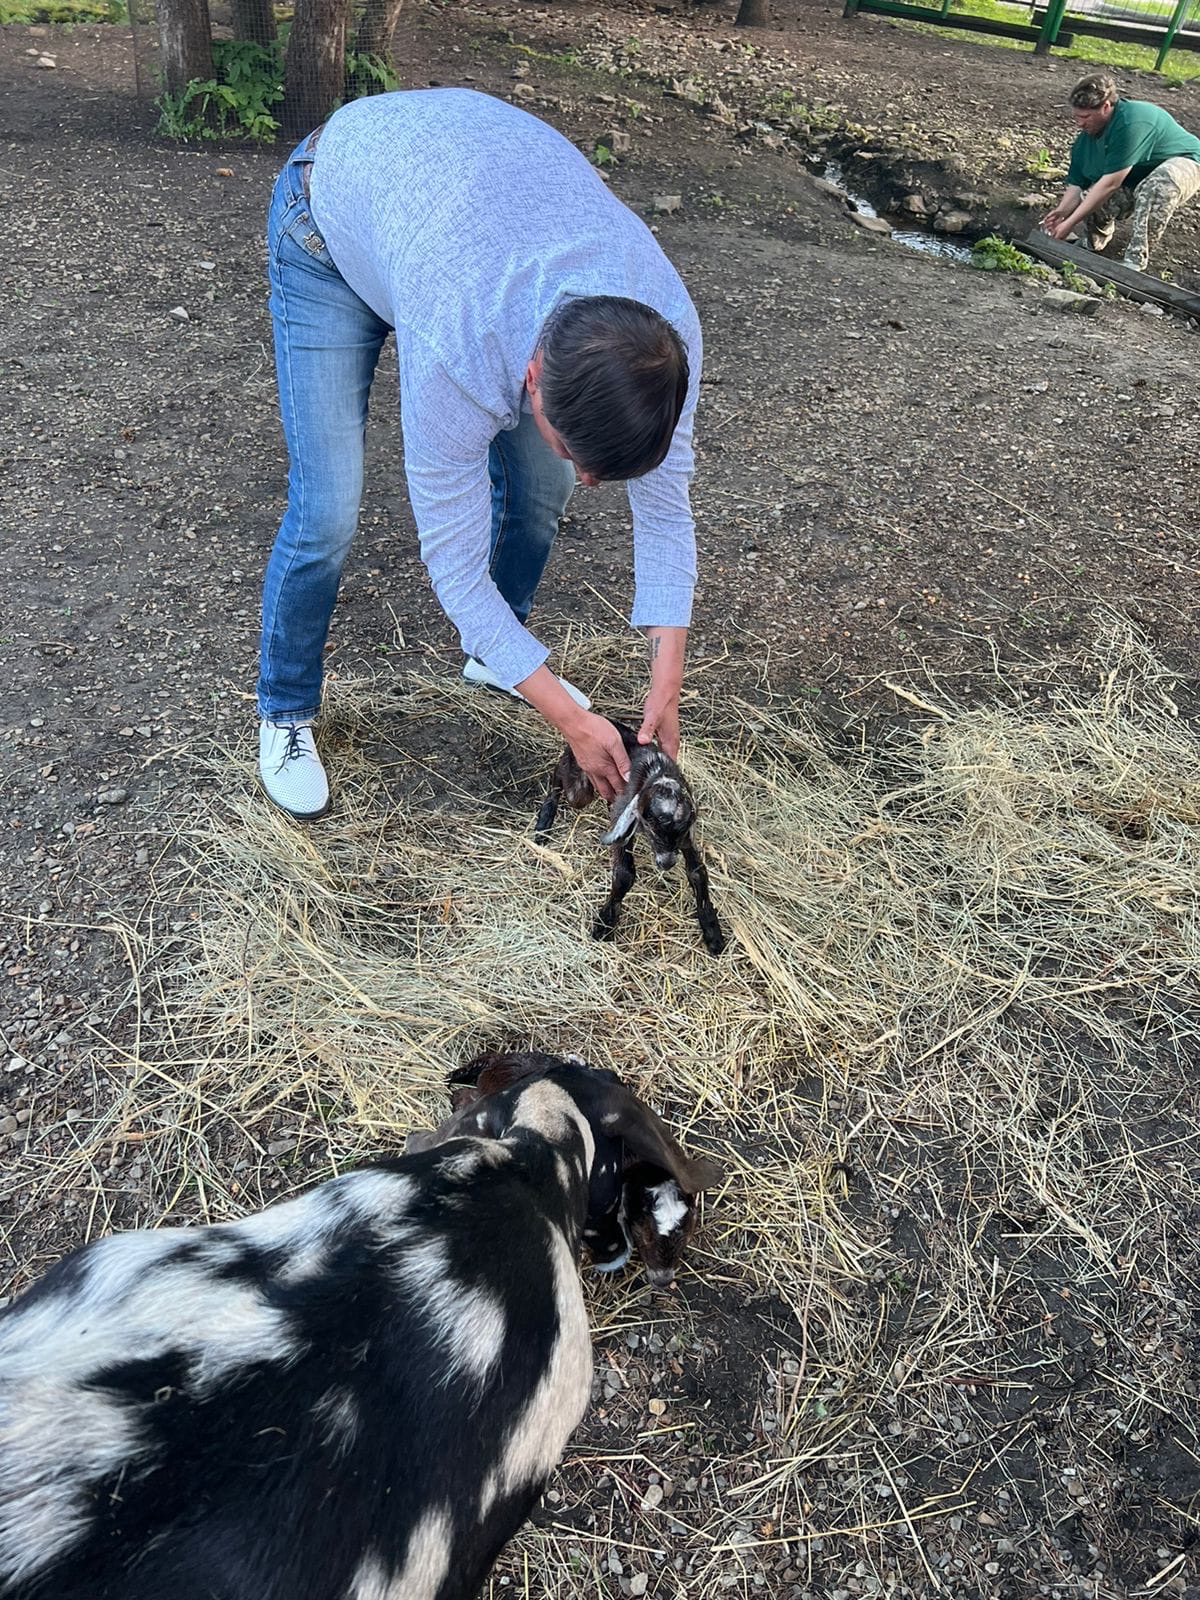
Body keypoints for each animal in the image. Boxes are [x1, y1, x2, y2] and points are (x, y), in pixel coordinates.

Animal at [537, 720, 729, 953]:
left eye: (681, 830)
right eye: (650, 826)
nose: (666, 863)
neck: (659, 772)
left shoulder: (685, 839)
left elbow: (698, 873)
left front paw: (712, 932)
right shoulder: (624, 817)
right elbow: (624, 874)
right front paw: (605, 923)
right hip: (580, 786)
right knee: (559, 773)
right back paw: (545, 818)